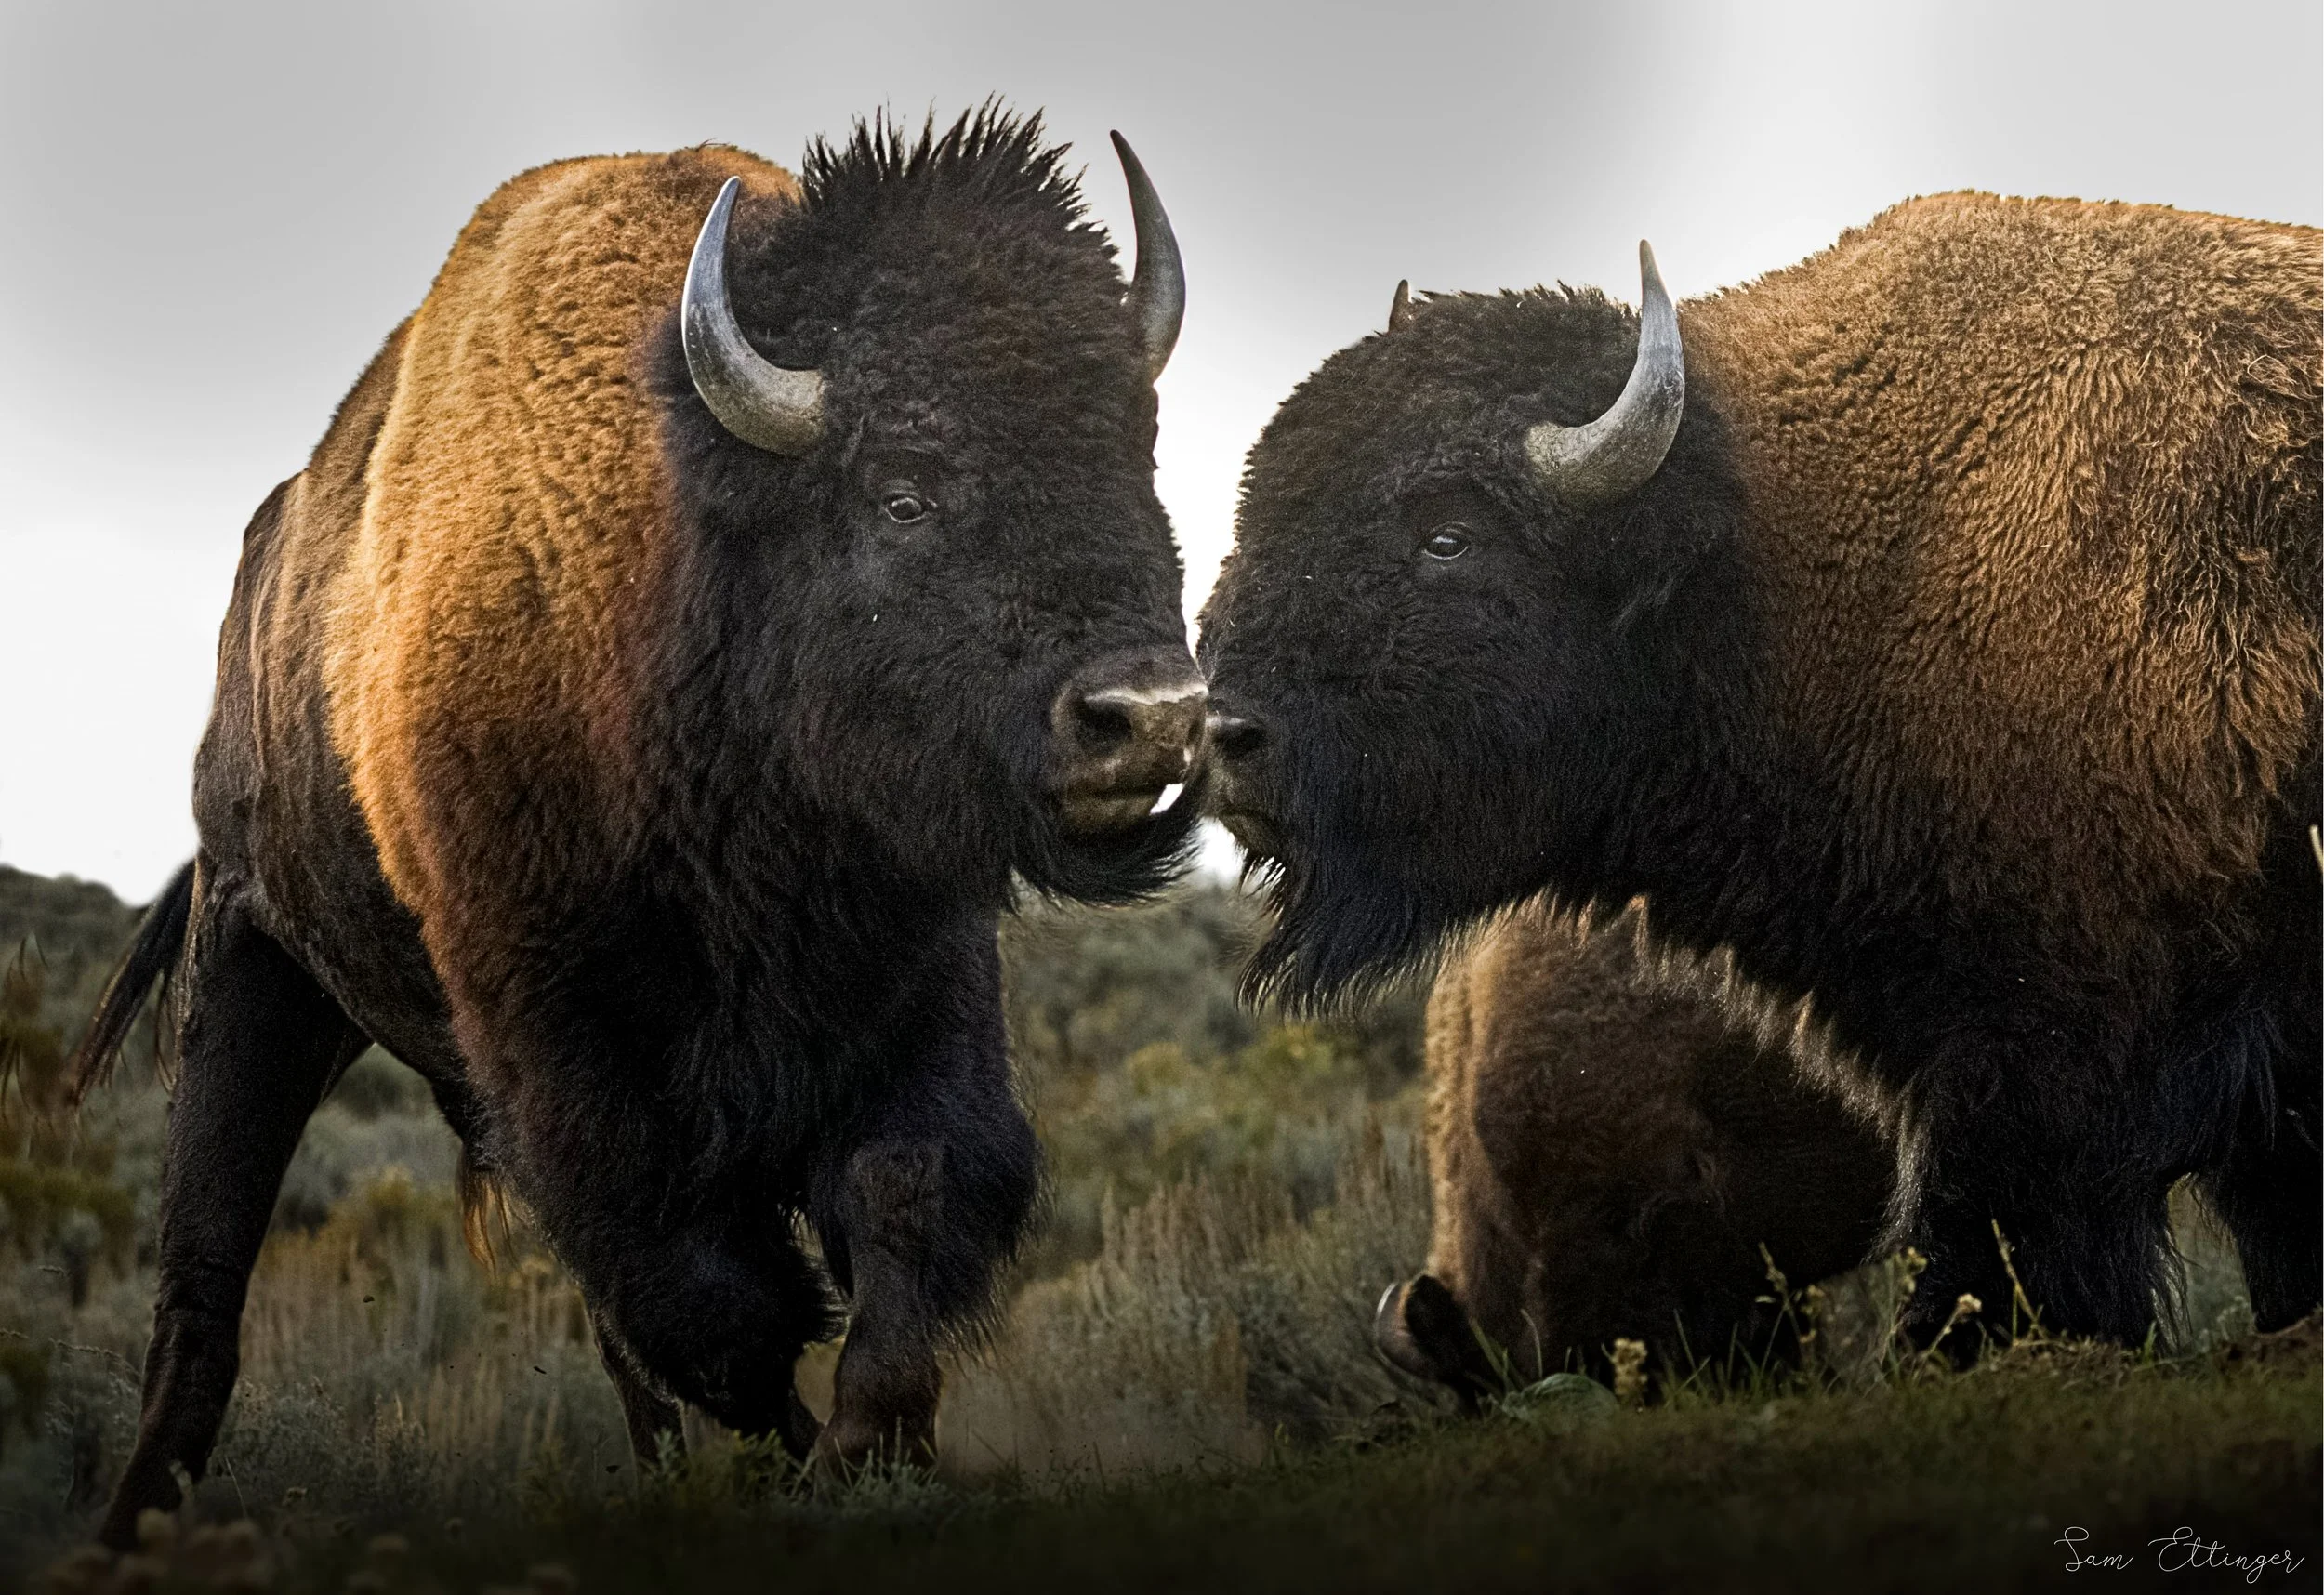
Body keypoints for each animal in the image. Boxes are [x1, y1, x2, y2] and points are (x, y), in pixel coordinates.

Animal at [70, 109, 1205, 1545]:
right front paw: (808, 1460)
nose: (1154, 718)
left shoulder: (923, 979)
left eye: (1138, 447)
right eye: (902, 490)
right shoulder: (564, 1046)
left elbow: (903, 1194)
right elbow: (706, 1298)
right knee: (203, 1286)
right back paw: (133, 1523)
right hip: (255, 969)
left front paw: (870, 1447)